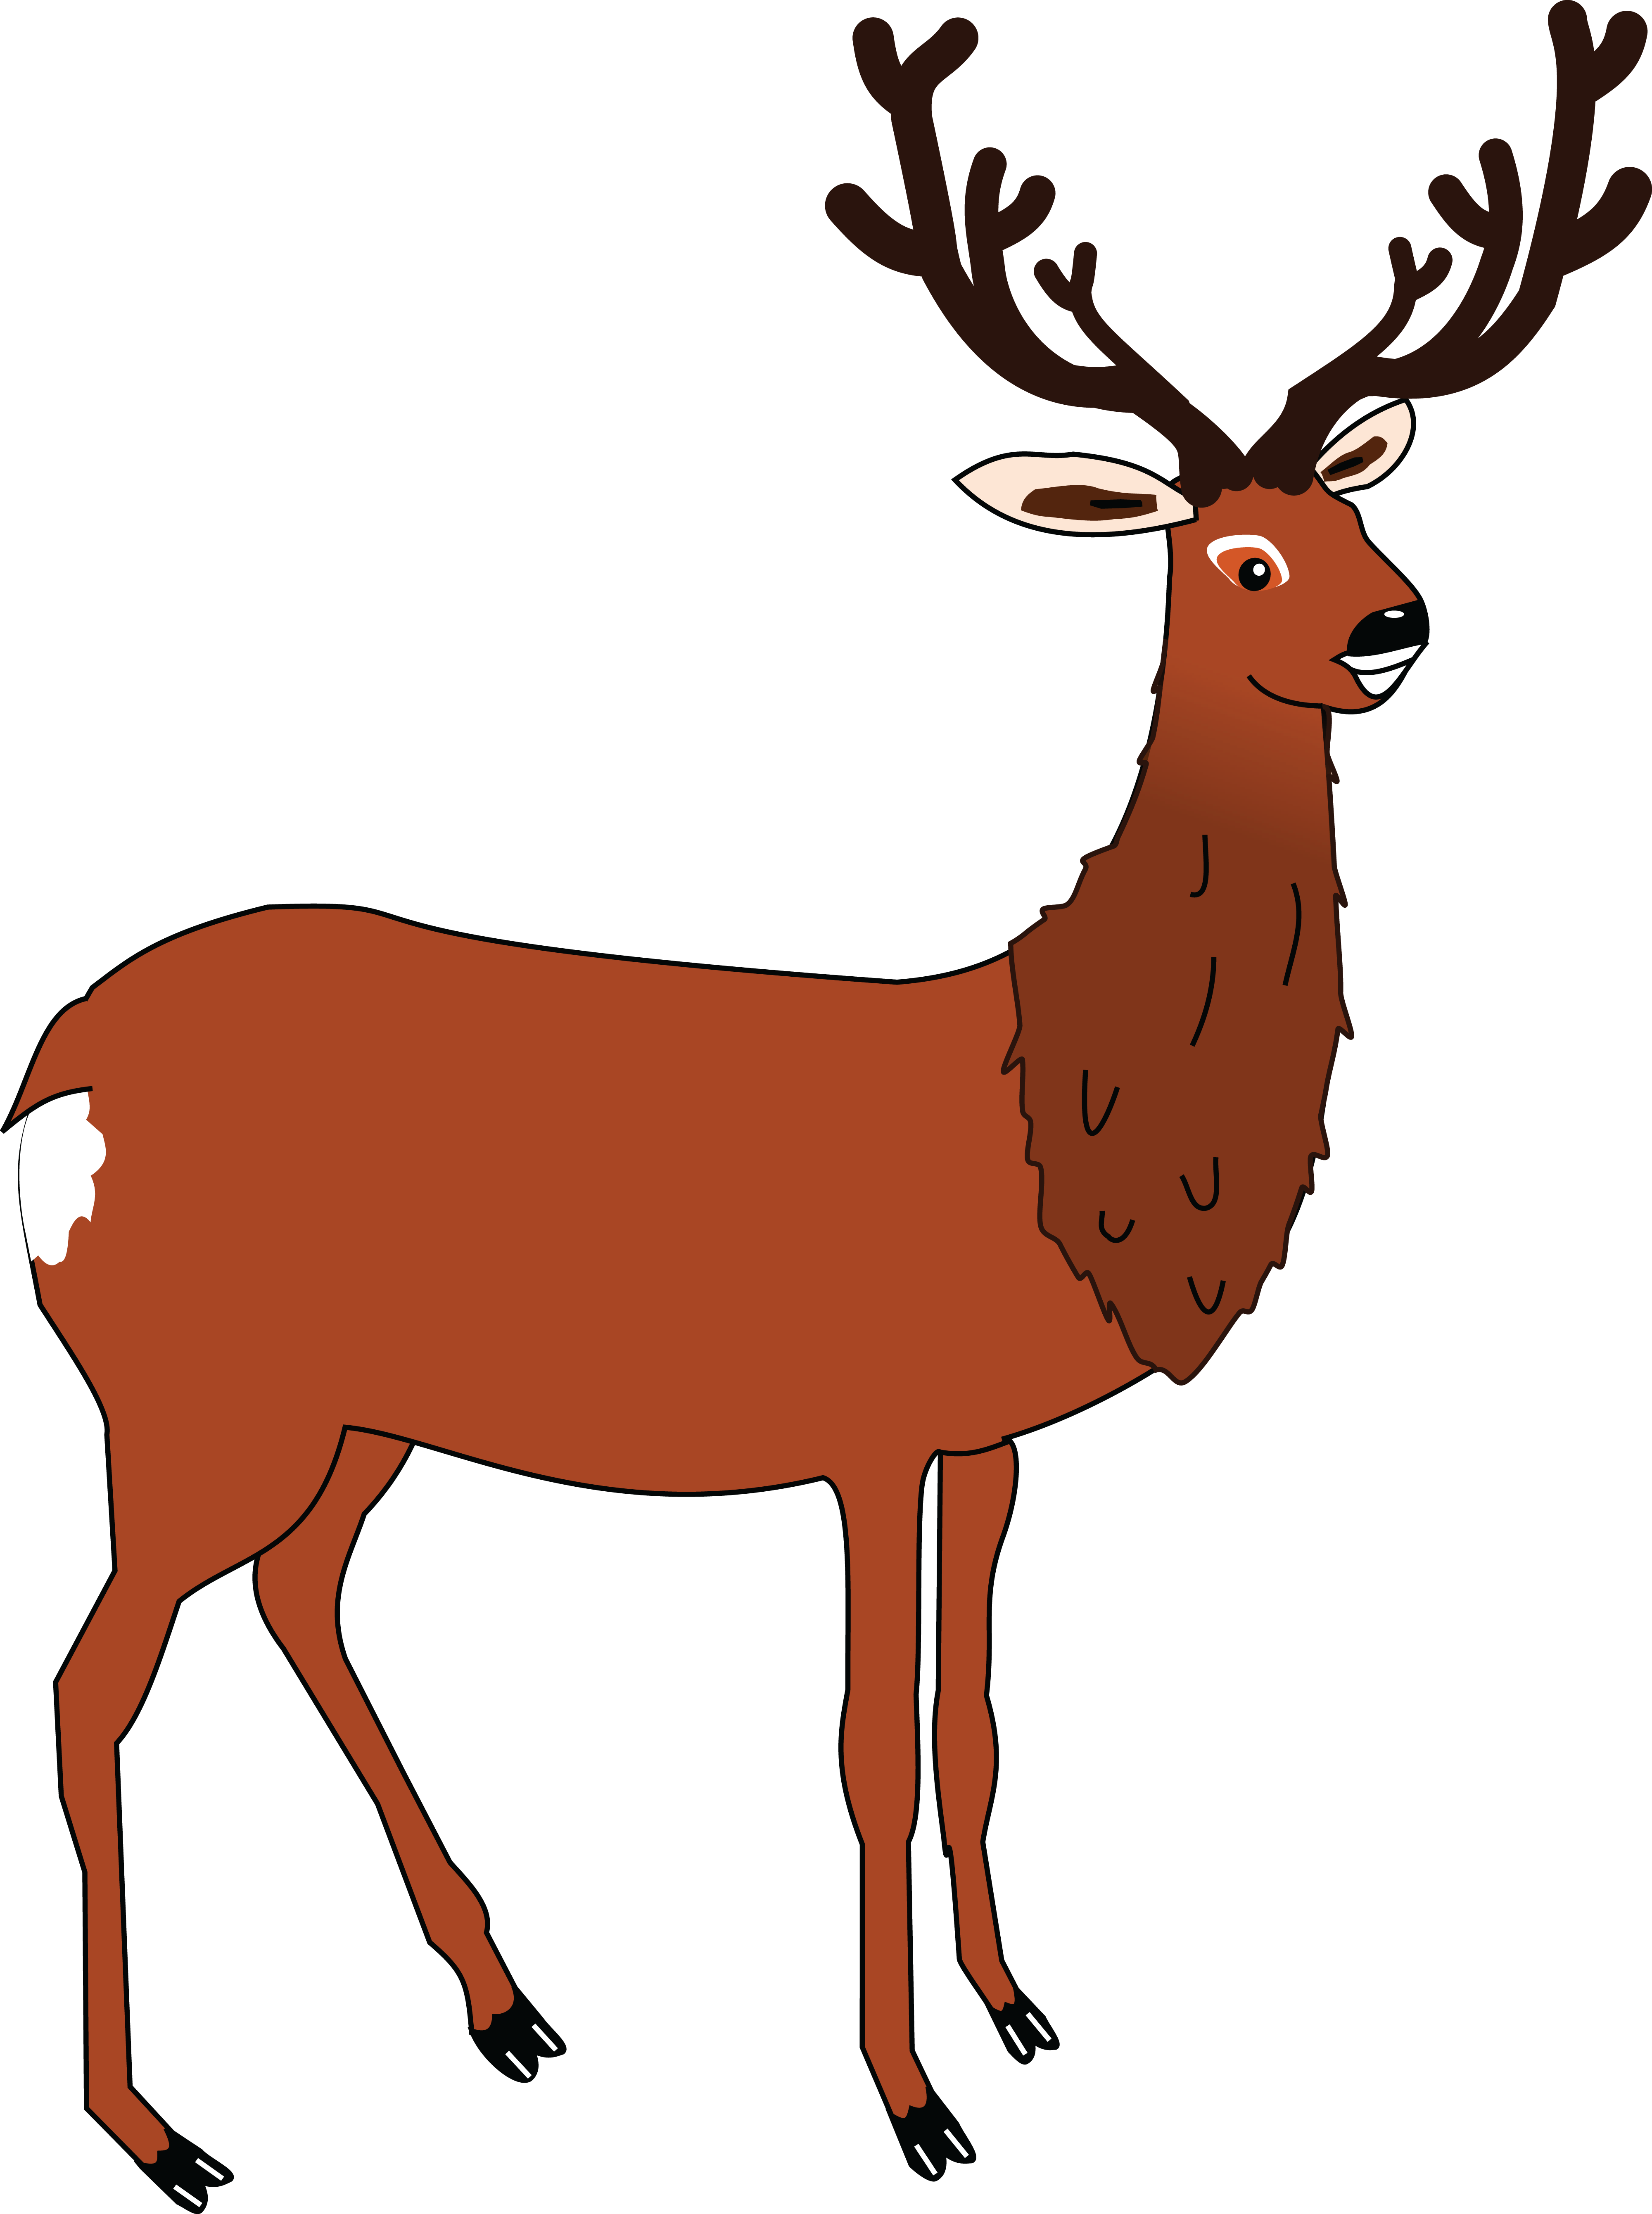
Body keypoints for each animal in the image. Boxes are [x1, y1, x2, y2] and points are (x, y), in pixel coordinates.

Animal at [16, 7, 1648, 2197]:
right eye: (1237, 555)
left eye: (1357, 519)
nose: (1392, 626)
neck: (1049, 1110)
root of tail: (52, 1086)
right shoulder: (863, 1425)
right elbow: (868, 1744)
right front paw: (911, 2096)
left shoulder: (989, 1435)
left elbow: (969, 1719)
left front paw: (1019, 2007)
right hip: (194, 1391)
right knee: (95, 1675)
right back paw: (161, 2126)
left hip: (351, 1407)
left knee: (298, 1591)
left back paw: (508, 2001)